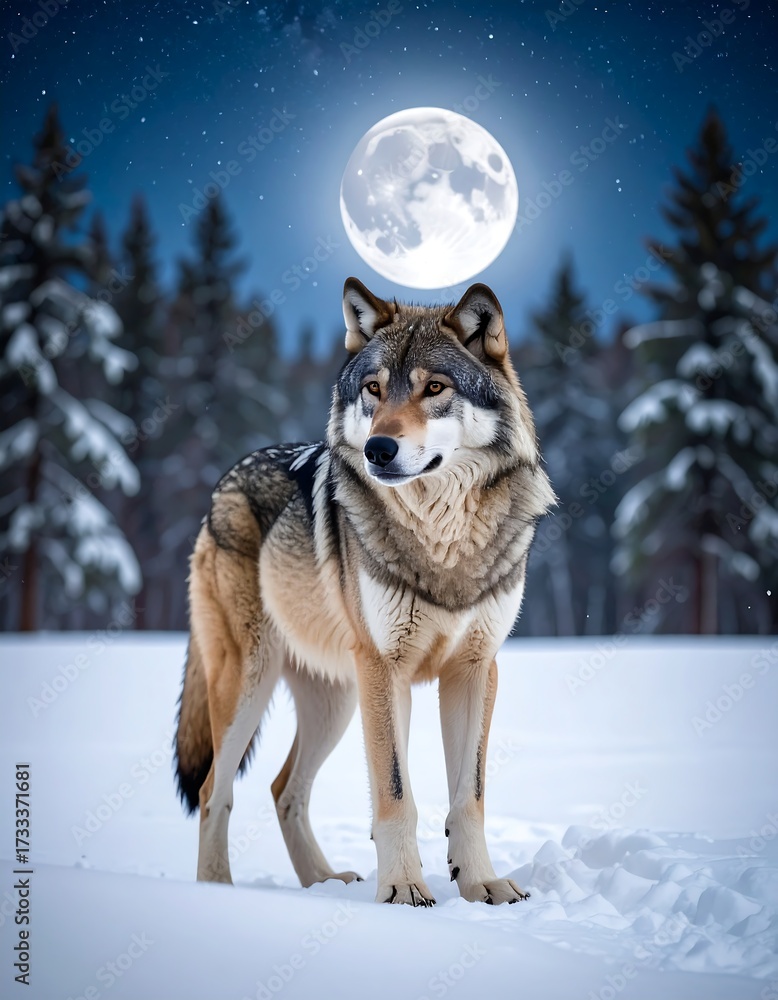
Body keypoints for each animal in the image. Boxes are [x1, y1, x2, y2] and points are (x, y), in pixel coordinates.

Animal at [175, 277, 555, 906]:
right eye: (374, 389)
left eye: (433, 388)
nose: (379, 448)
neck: (442, 540)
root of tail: (223, 483)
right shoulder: (385, 668)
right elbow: (395, 794)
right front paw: (402, 890)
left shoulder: (476, 669)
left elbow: (469, 796)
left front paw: (482, 886)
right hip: (251, 681)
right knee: (212, 790)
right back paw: (219, 892)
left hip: (335, 701)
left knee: (283, 788)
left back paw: (322, 882)